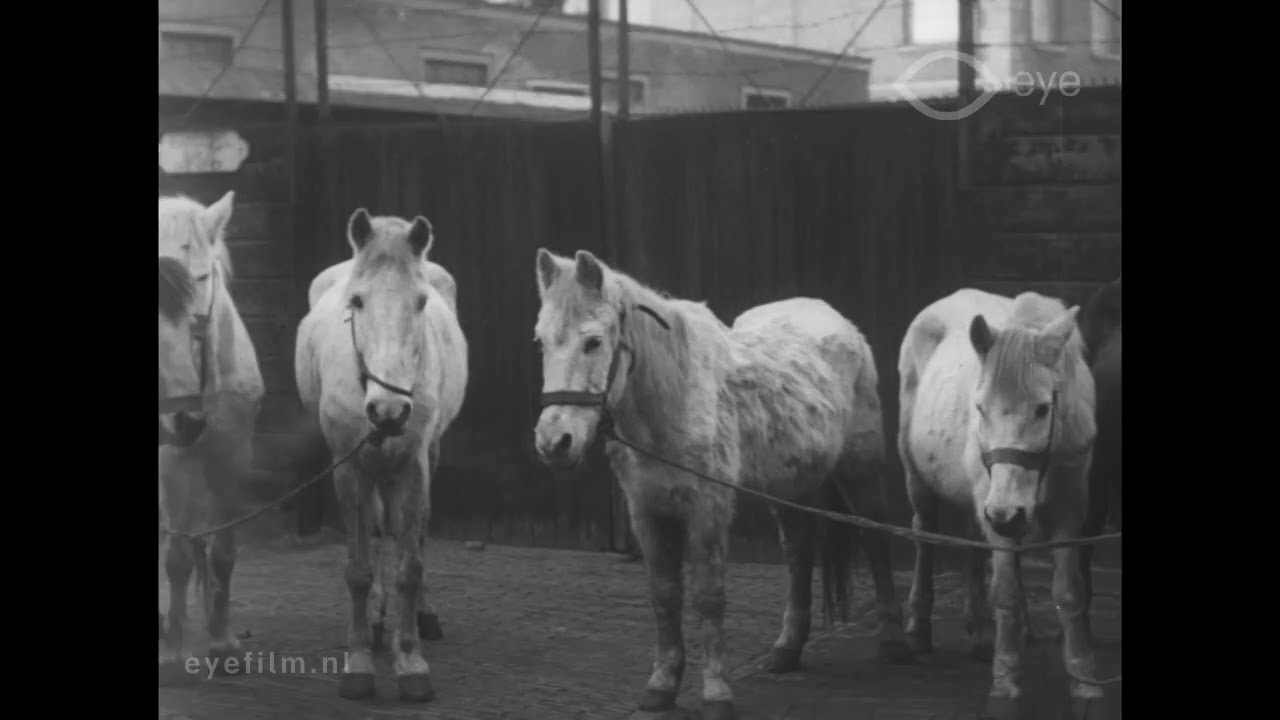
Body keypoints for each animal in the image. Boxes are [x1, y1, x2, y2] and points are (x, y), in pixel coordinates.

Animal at [294, 209, 468, 703]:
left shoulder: (413, 465)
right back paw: (374, 620)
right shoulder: (349, 468)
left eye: (421, 302)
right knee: (373, 530)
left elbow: (409, 565)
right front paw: (359, 663)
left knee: (414, 530)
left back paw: (422, 616)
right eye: (357, 300)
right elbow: (358, 569)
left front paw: (410, 664)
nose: (389, 413)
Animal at [531, 249, 911, 720]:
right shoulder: (647, 512)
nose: (554, 442)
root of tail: (841, 324)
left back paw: (893, 643)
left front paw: (716, 693)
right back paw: (787, 650)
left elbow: (708, 598)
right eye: (541, 342)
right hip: (791, 483)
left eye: (593, 342)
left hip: (860, 472)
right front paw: (662, 685)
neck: (672, 401)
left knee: (876, 542)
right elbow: (664, 596)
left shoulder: (706, 510)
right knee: (799, 552)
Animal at [897, 289, 1103, 718]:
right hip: (921, 480)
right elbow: (1005, 592)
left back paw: (980, 632)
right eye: (979, 408)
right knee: (925, 534)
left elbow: (1070, 593)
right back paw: (918, 629)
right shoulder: (997, 509)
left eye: (1042, 408)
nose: (1005, 515)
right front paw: (1005, 686)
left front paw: (1085, 685)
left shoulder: (1068, 509)